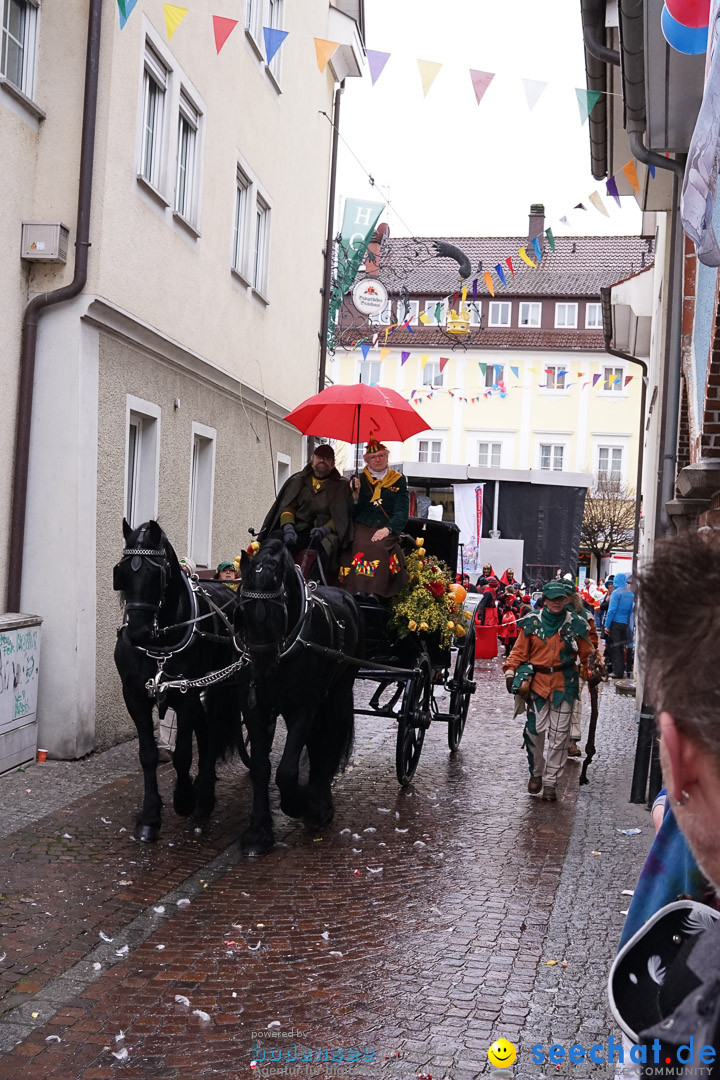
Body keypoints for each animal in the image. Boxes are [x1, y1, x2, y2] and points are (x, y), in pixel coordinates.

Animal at [113, 518, 248, 838]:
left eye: (157, 572)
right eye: (122, 572)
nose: (136, 632)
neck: (160, 645)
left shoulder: (186, 694)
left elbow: (184, 754)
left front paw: (184, 799)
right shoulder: (135, 696)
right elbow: (148, 755)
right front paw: (150, 817)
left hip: (221, 687)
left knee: (213, 731)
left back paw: (204, 796)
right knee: (205, 728)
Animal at [236, 535, 362, 855]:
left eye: (278, 610)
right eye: (241, 611)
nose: (262, 671)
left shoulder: (305, 706)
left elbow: (287, 769)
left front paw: (299, 804)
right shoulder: (255, 707)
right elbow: (261, 767)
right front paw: (258, 832)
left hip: (337, 695)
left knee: (329, 741)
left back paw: (319, 804)